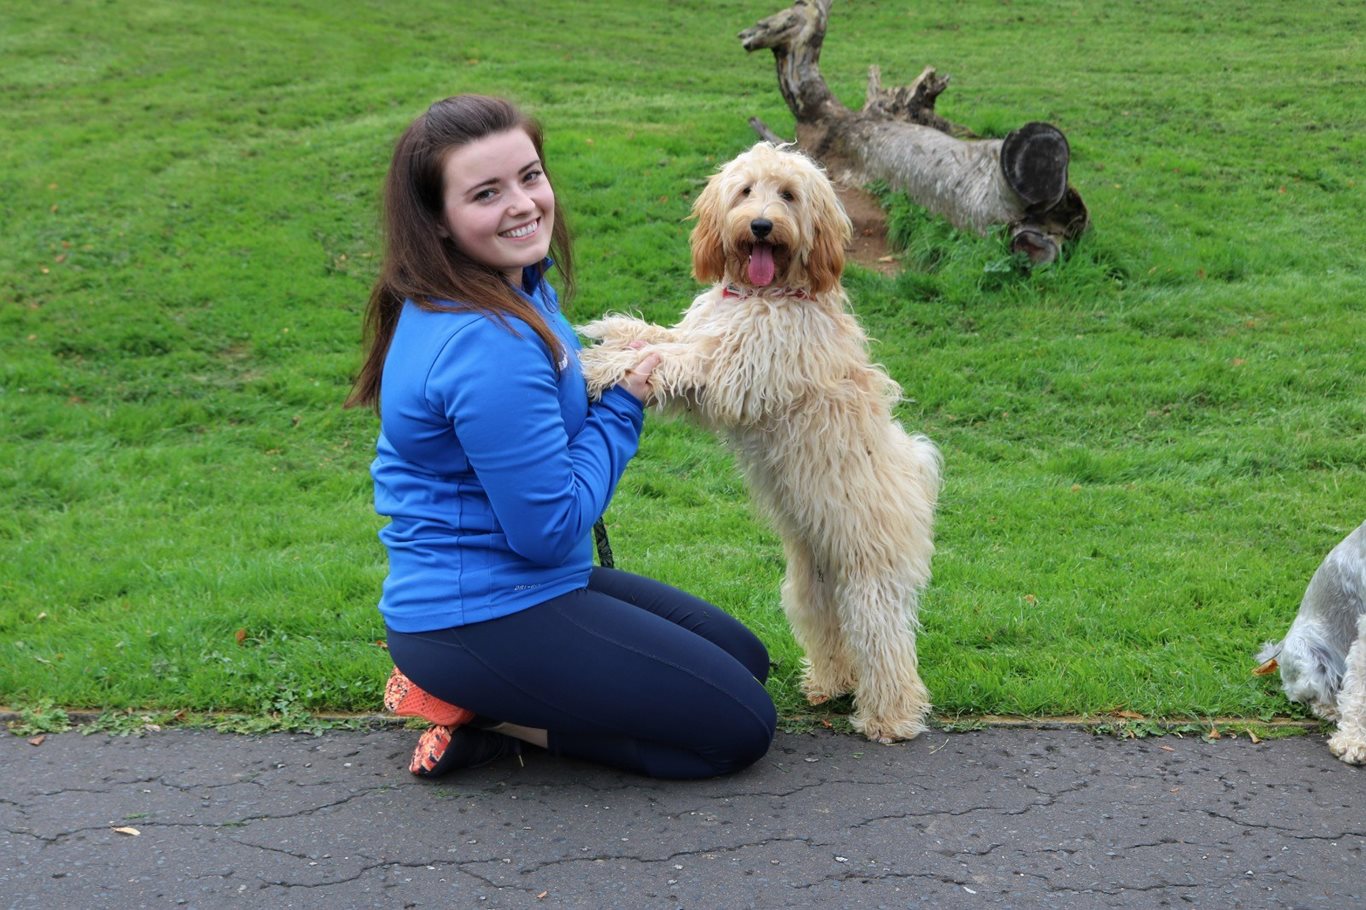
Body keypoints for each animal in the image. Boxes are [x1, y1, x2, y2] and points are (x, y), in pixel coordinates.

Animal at [573, 140, 939, 737]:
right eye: (745, 191)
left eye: (788, 194)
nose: (762, 225)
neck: (759, 294)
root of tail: (917, 479)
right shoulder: (707, 337)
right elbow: (666, 338)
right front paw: (612, 330)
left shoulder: (736, 370)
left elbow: (673, 357)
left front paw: (595, 365)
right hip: (812, 581)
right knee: (831, 632)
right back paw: (828, 685)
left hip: (868, 572)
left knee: (886, 644)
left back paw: (890, 717)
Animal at [1256, 521, 1366, 759]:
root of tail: (1279, 650)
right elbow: (1360, 693)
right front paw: (1353, 741)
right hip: (1310, 660)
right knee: (1306, 695)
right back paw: (1331, 710)